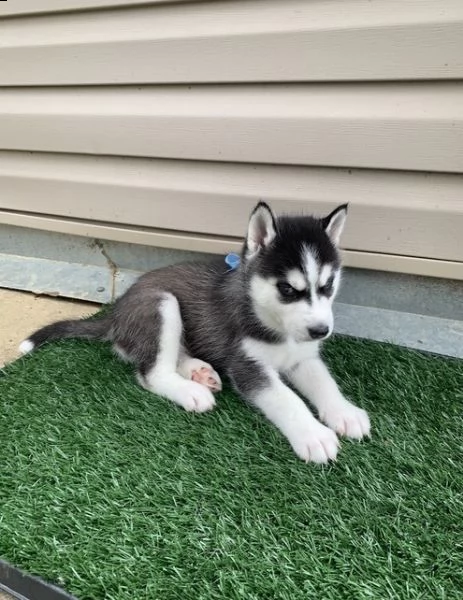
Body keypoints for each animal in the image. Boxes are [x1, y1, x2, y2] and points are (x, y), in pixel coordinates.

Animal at [20, 204, 372, 462]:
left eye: (328, 285)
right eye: (287, 289)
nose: (320, 331)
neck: (272, 324)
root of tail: (115, 313)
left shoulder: (303, 357)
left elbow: (324, 383)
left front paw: (345, 413)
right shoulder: (247, 365)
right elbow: (287, 398)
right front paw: (313, 435)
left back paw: (199, 371)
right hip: (161, 303)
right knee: (151, 373)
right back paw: (190, 390)